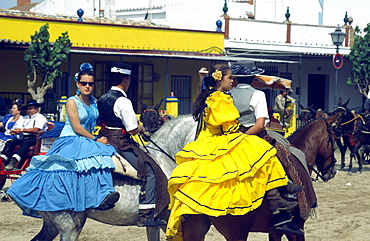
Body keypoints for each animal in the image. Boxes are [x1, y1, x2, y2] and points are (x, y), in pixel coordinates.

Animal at [179, 115, 338, 241]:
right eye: (332, 139)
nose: (333, 170)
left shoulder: (274, 232)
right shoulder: (297, 228)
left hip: (194, 230)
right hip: (237, 234)